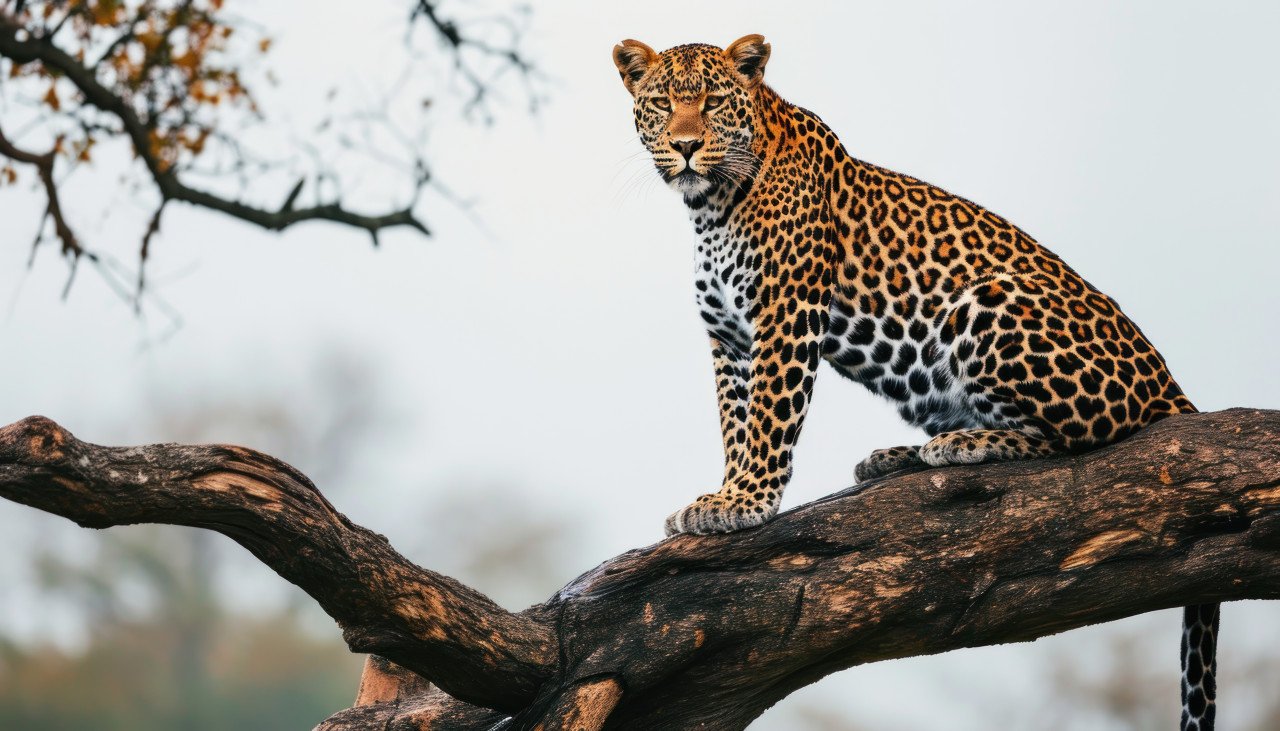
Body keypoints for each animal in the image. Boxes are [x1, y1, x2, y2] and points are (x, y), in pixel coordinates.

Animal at [613, 34, 1217, 731]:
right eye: (662, 103)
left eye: (712, 103)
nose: (685, 146)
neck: (710, 208)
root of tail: (1167, 380)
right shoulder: (728, 340)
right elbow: (736, 424)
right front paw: (724, 495)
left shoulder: (785, 319)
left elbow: (768, 420)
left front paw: (746, 503)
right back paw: (899, 455)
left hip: (987, 300)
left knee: (1080, 438)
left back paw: (963, 445)